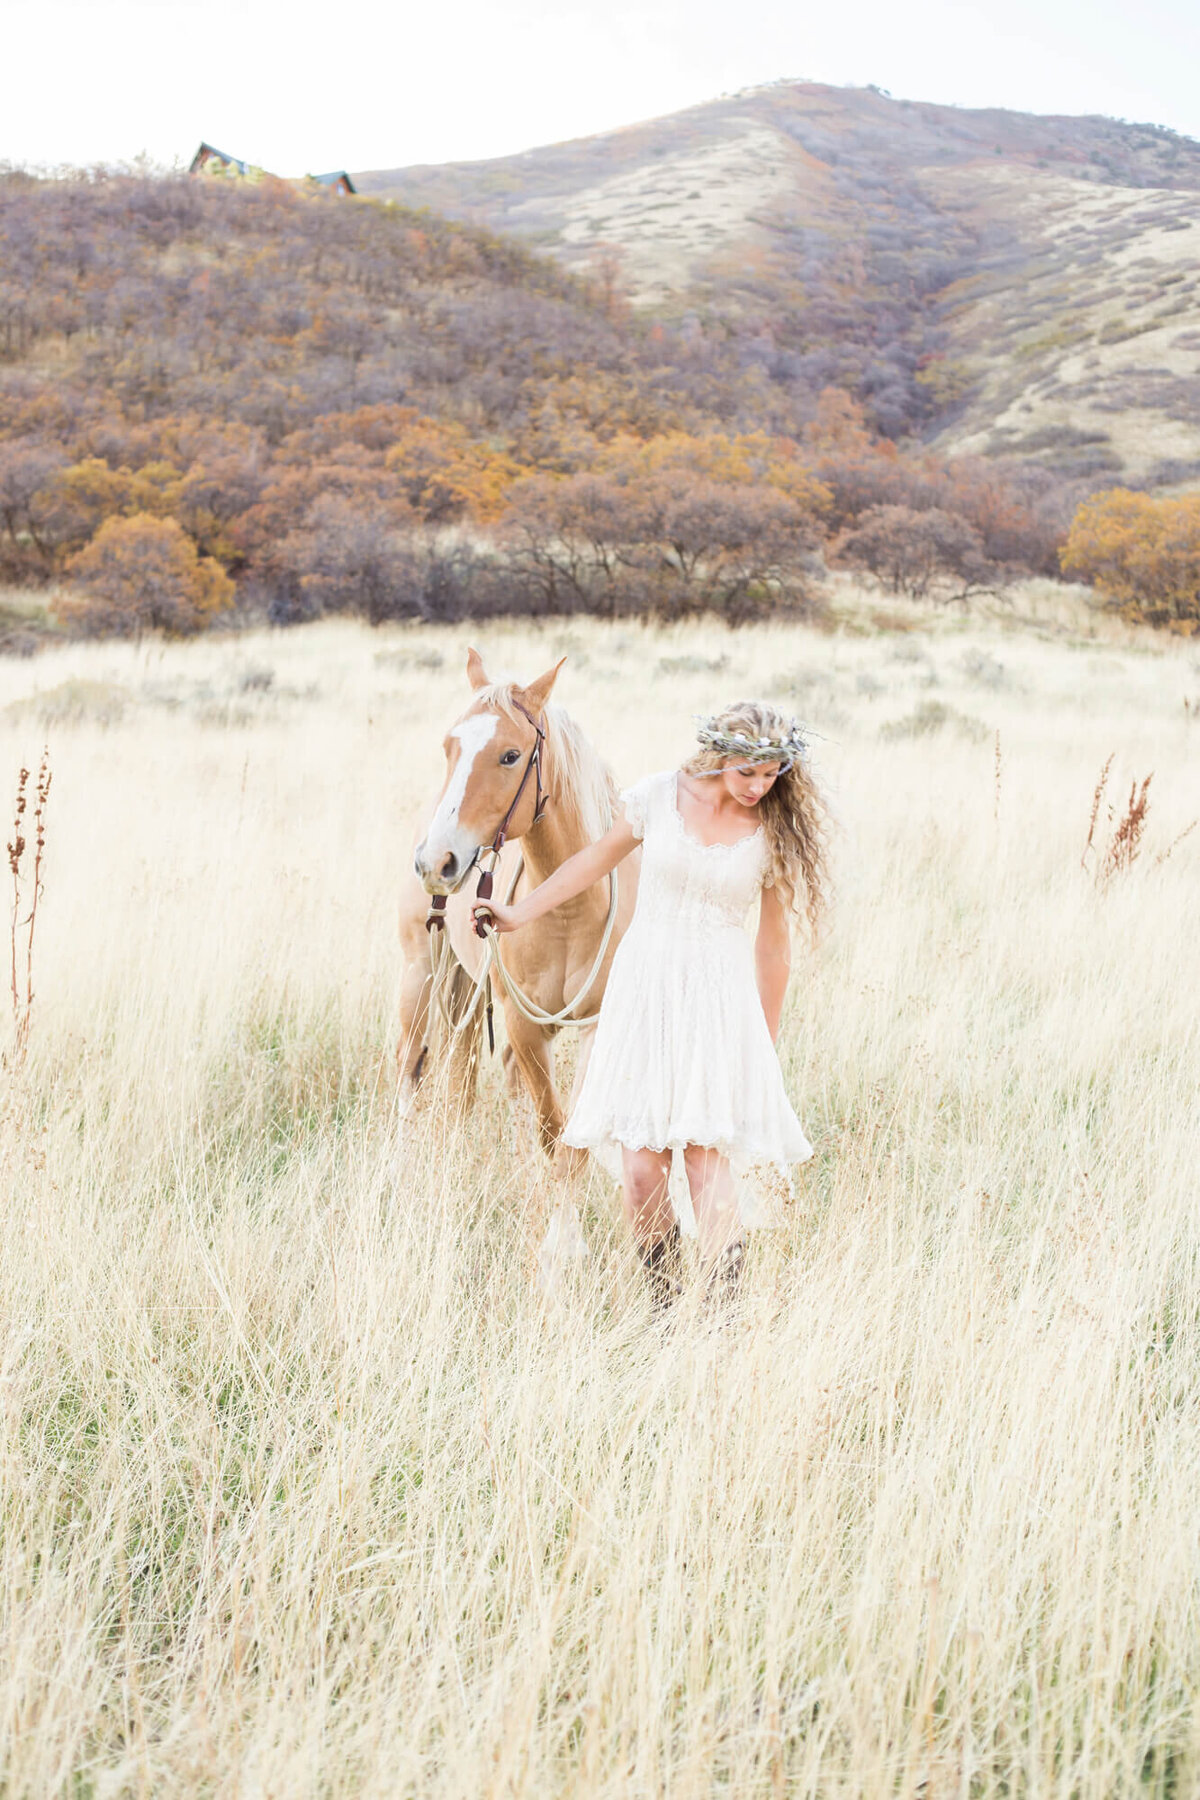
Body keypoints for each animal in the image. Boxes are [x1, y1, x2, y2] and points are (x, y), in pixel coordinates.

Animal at [395, 648, 644, 1166]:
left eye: (510, 755)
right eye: (448, 748)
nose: (435, 861)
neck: (570, 907)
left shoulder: (598, 1027)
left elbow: (570, 1143)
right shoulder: (524, 1025)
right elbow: (553, 1130)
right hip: (419, 973)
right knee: (410, 1069)